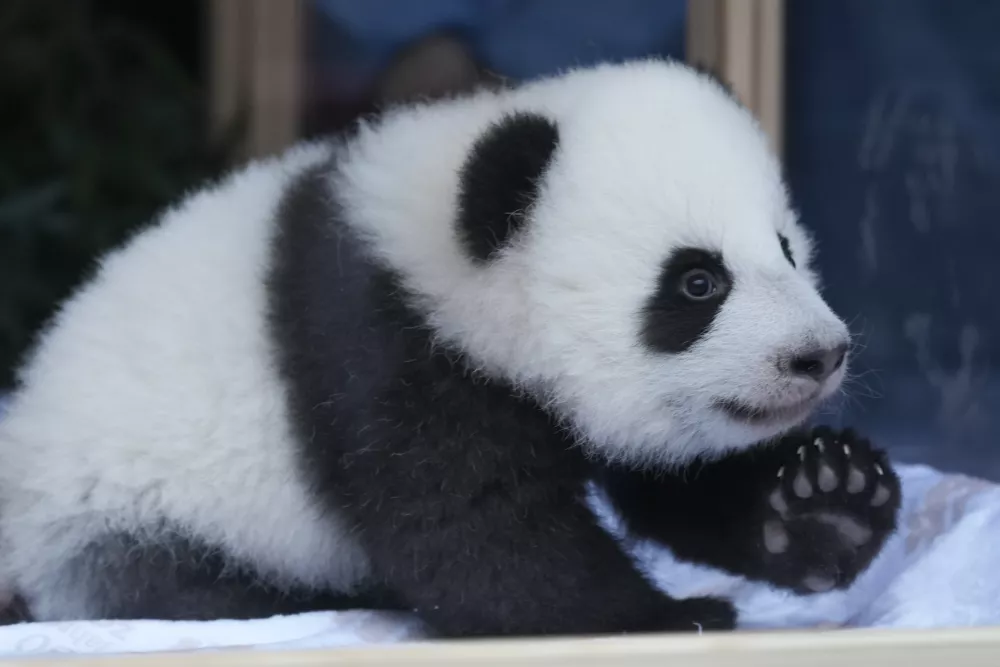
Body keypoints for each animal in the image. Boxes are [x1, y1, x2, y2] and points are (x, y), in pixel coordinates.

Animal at [0, 60, 900, 640]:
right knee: (190, 589)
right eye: (697, 283)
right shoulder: (382, 350)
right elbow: (473, 534)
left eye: (785, 249)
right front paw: (671, 614)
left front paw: (826, 500)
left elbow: (670, 484)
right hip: (129, 518)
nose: (820, 354)